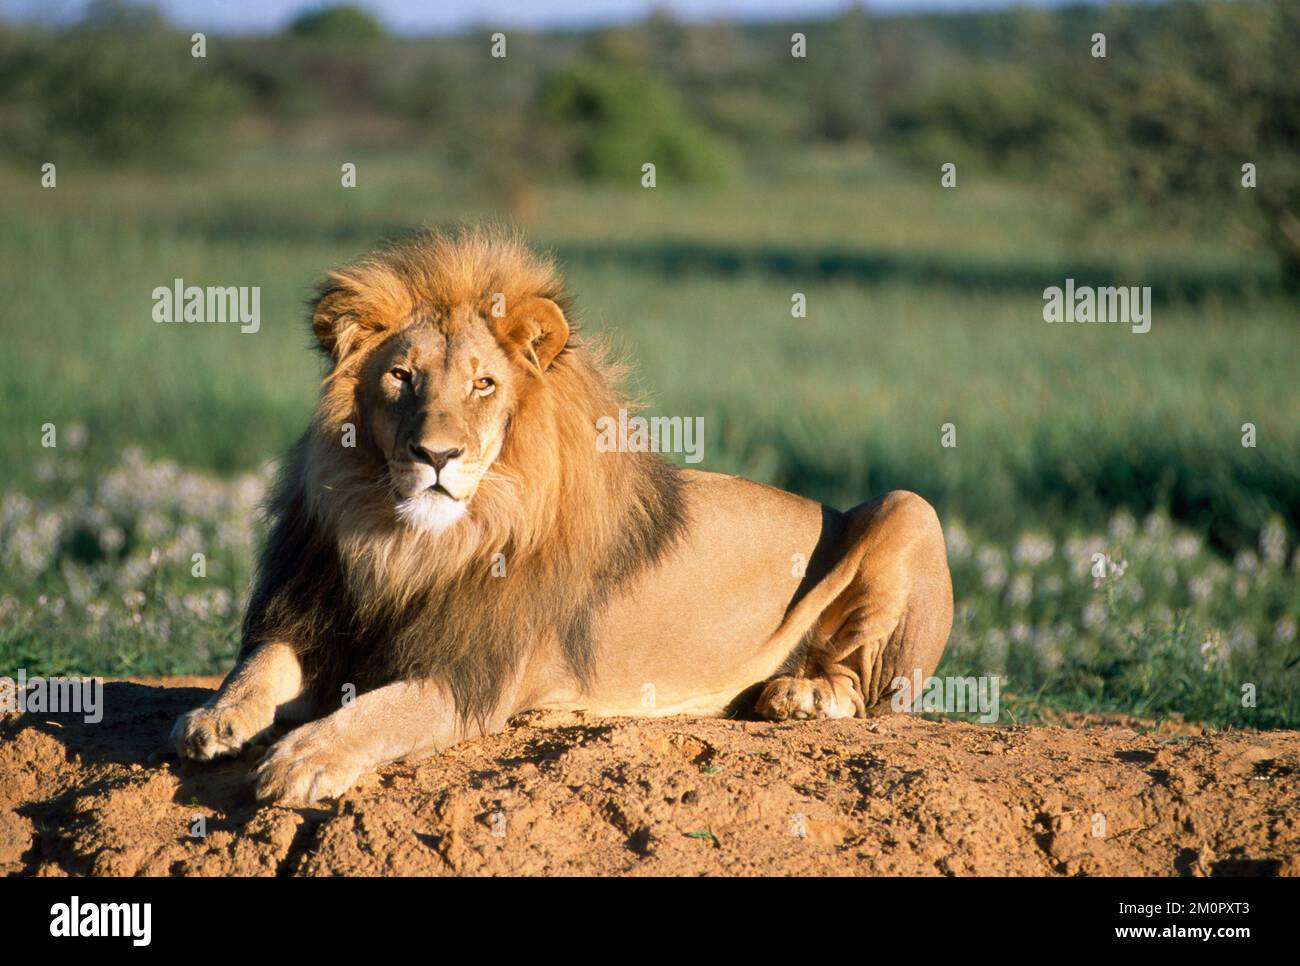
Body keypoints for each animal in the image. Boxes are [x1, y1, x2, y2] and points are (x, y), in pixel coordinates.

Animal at [171, 227, 954, 803]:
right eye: (401, 376)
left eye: (484, 384)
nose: (436, 455)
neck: (406, 543)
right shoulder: (318, 615)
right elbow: (261, 663)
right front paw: (214, 717)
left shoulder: (471, 678)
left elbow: (377, 712)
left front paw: (304, 757)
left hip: (908, 508)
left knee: (869, 693)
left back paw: (803, 696)